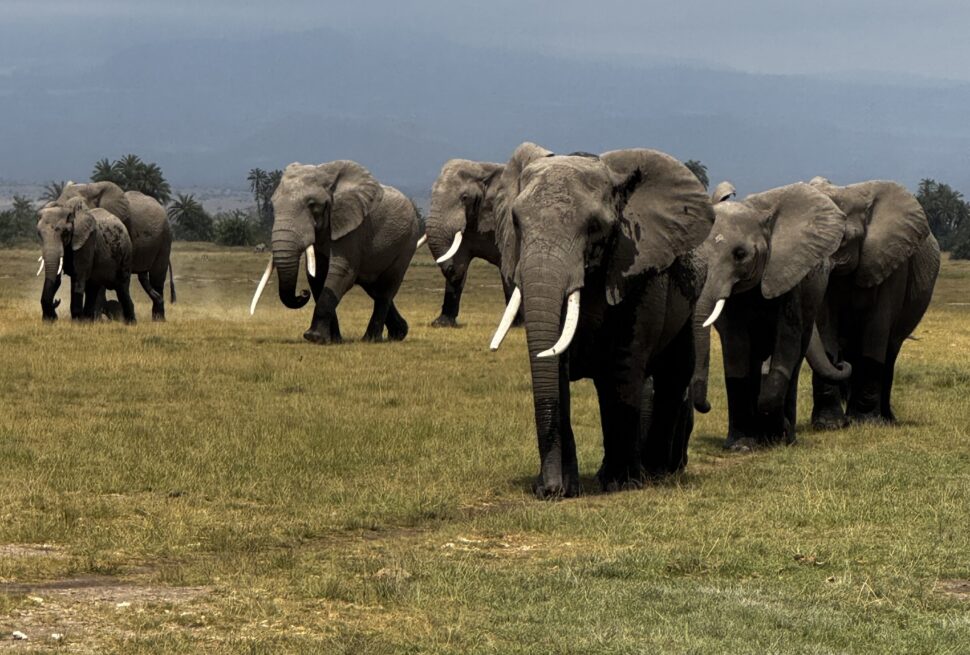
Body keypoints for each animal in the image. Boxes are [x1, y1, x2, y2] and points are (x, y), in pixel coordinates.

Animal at [250, 160, 421, 343]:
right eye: (273, 205)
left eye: (312, 205)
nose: (303, 293)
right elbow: (317, 276)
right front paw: (333, 340)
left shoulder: (353, 227)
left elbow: (342, 272)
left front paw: (314, 337)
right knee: (373, 288)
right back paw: (399, 333)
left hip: (407, 242)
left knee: (385, 290)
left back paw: (371, 339)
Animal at [425, 159, 521, 327]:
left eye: (464, 197)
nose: (448, 269)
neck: (483, 170)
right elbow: (460, 260)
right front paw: (442, 324)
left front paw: (516, 324)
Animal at [489, 142, 715, 498]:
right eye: (516, 221)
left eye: (594, 226)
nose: (547, 488)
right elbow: (557, 366)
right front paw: (566, 489)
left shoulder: (637, 270)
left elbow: (622, 368)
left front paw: (622, 483)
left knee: (673, 374)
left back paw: (655, 472)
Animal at [691, 182, 850, 450]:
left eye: (740, 254)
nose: (707, 405)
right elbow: (736, 348)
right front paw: (741, 446)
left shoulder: (788, 275)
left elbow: (786, 340)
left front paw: (778, 428)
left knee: (795, 358)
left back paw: (787, 437)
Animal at [807, 178, 941, 427]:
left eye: (842, 240)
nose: (839, 365)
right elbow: (825, 323)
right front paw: (829, 425)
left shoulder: (893, 261)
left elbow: (877, 326)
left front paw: (865, 422)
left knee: (889, 352)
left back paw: (886, 419)